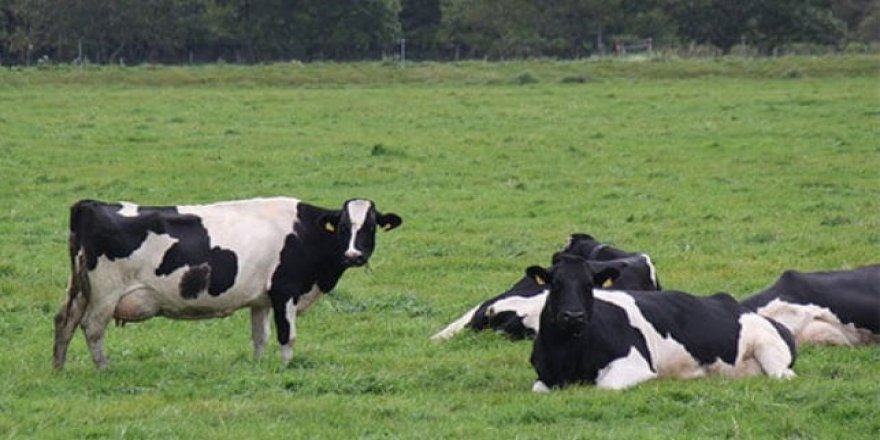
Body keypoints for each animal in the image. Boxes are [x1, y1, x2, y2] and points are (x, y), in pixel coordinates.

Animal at [51, 196, 402, 368]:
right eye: (343, 226)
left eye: (370, 227)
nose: (354, 255)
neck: (304, 232)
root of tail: (89, 204)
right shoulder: (285, 292)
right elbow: (287, 336)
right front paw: (286, 369)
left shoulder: (261, 300)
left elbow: (260, 337)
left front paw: (259, 368)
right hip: (105, 293)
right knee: (92, 328)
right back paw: (103, 369)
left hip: (80, 289)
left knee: (64, 322)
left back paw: (59, 367)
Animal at [528, 254, 796, 392]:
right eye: (555, 284)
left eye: (588, 285)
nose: (573, 316)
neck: (568, 356)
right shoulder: (545, 376)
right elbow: (538, 388)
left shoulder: (634, 363)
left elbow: (605, 386)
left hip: (769, 350)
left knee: (784, 375)